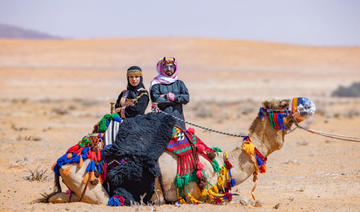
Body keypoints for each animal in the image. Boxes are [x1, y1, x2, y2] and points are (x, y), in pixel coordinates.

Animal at [45, 97, 316, 205]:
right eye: (283, 104)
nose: (308, 105)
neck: (224, 165)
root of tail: (63, 161)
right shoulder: (206, 192)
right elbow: (239, 199)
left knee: (58, 195)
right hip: (90, 182)